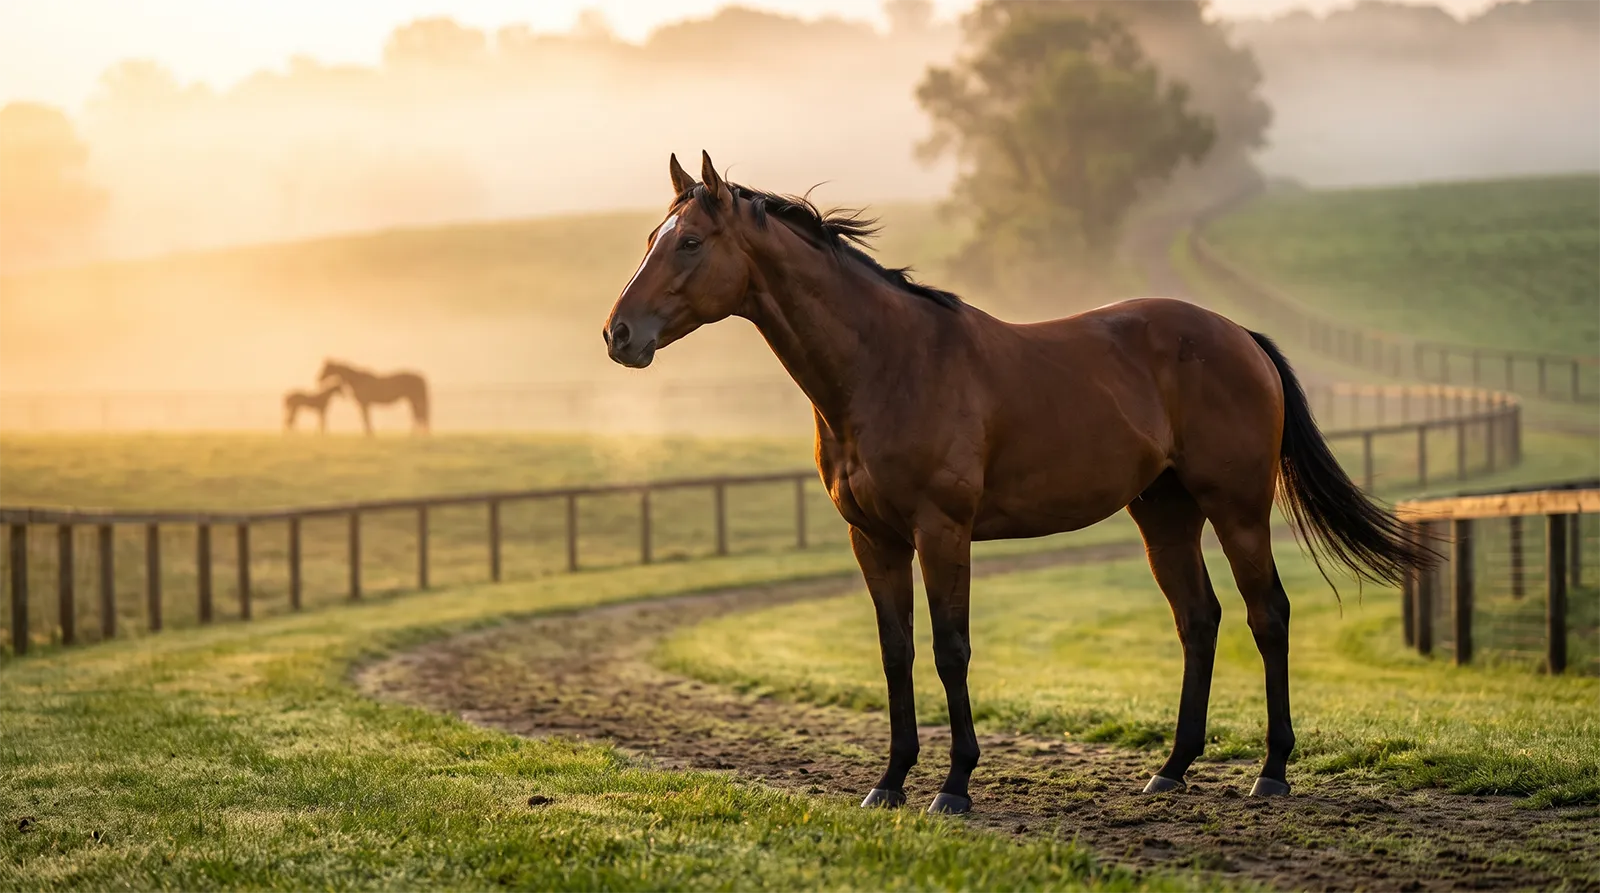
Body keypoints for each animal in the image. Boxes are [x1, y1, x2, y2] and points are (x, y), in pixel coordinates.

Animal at [603, 152, 1434, 815]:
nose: (618, 334)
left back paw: (1272, 770)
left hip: (1237, 509)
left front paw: (954, 785)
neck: (885, 364)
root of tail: (1241, 336)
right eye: (647, 240)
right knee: (1199, 620)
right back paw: (1170, 769)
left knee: (1269, 615)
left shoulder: (941, 530)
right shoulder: (873, 539)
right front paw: (890, 781)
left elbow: (950, 648)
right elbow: (895, 653)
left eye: (690, 242)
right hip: (1164, 515)